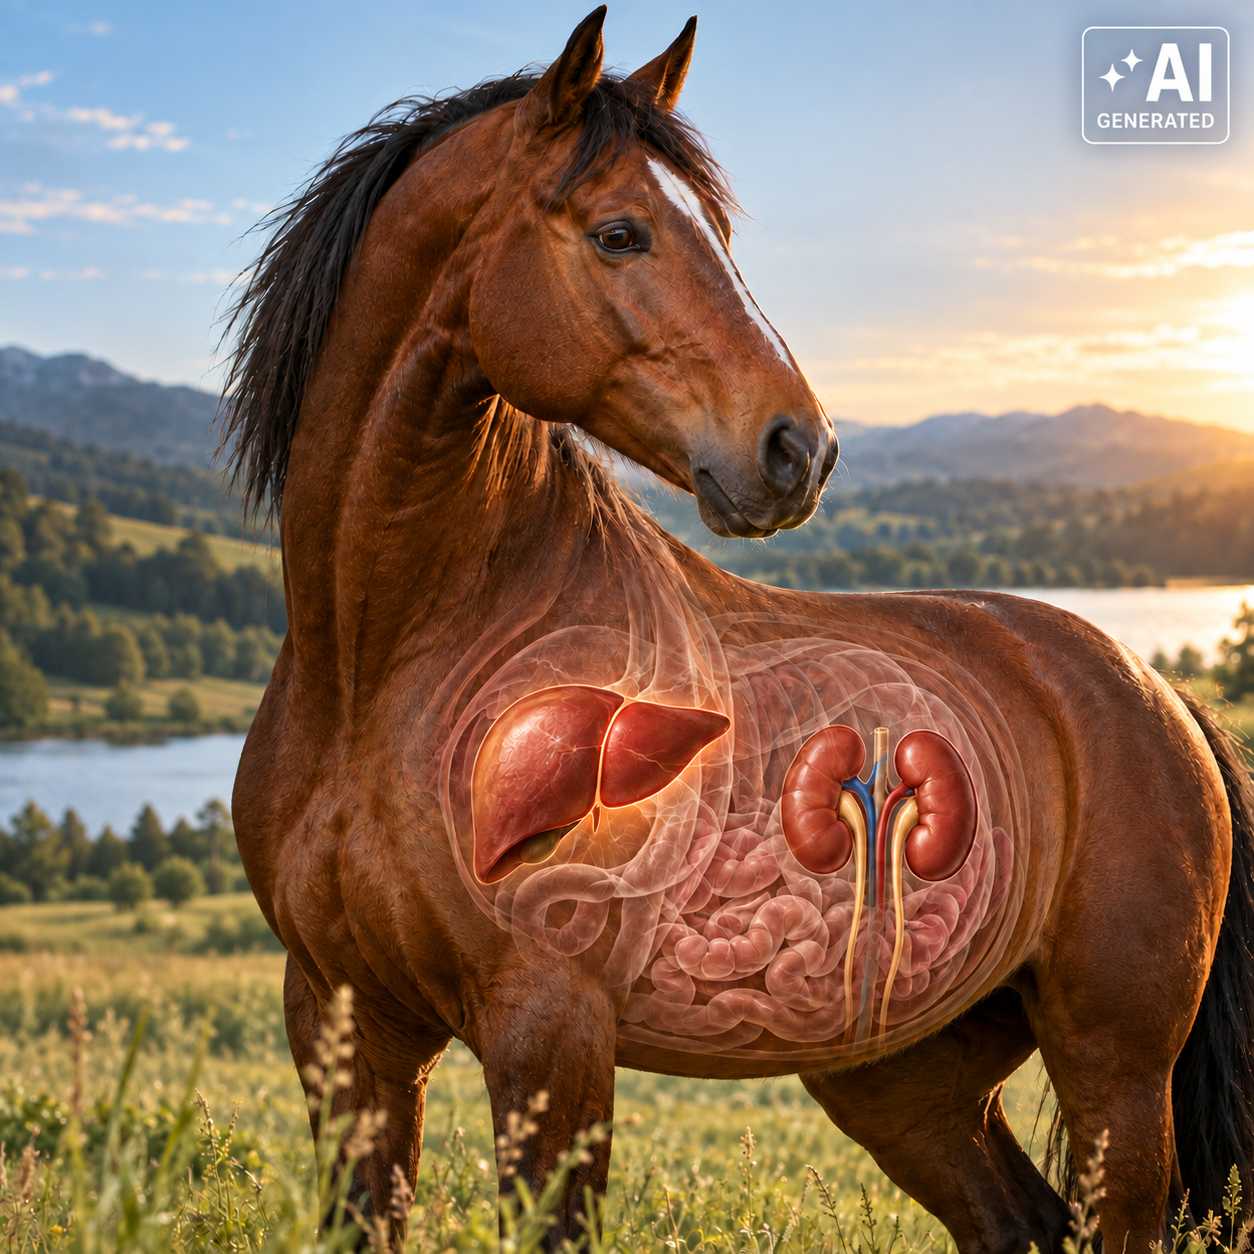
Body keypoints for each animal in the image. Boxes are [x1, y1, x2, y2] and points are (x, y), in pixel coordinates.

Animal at [222, 8, 1254, 1249]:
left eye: (712, 230)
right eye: (620, 233)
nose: (798, 448)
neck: (384, 664)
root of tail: (1159, 698)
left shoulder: (550, 1039)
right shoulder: (344, 1025)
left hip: (1117, 1078)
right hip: (907, 1078)